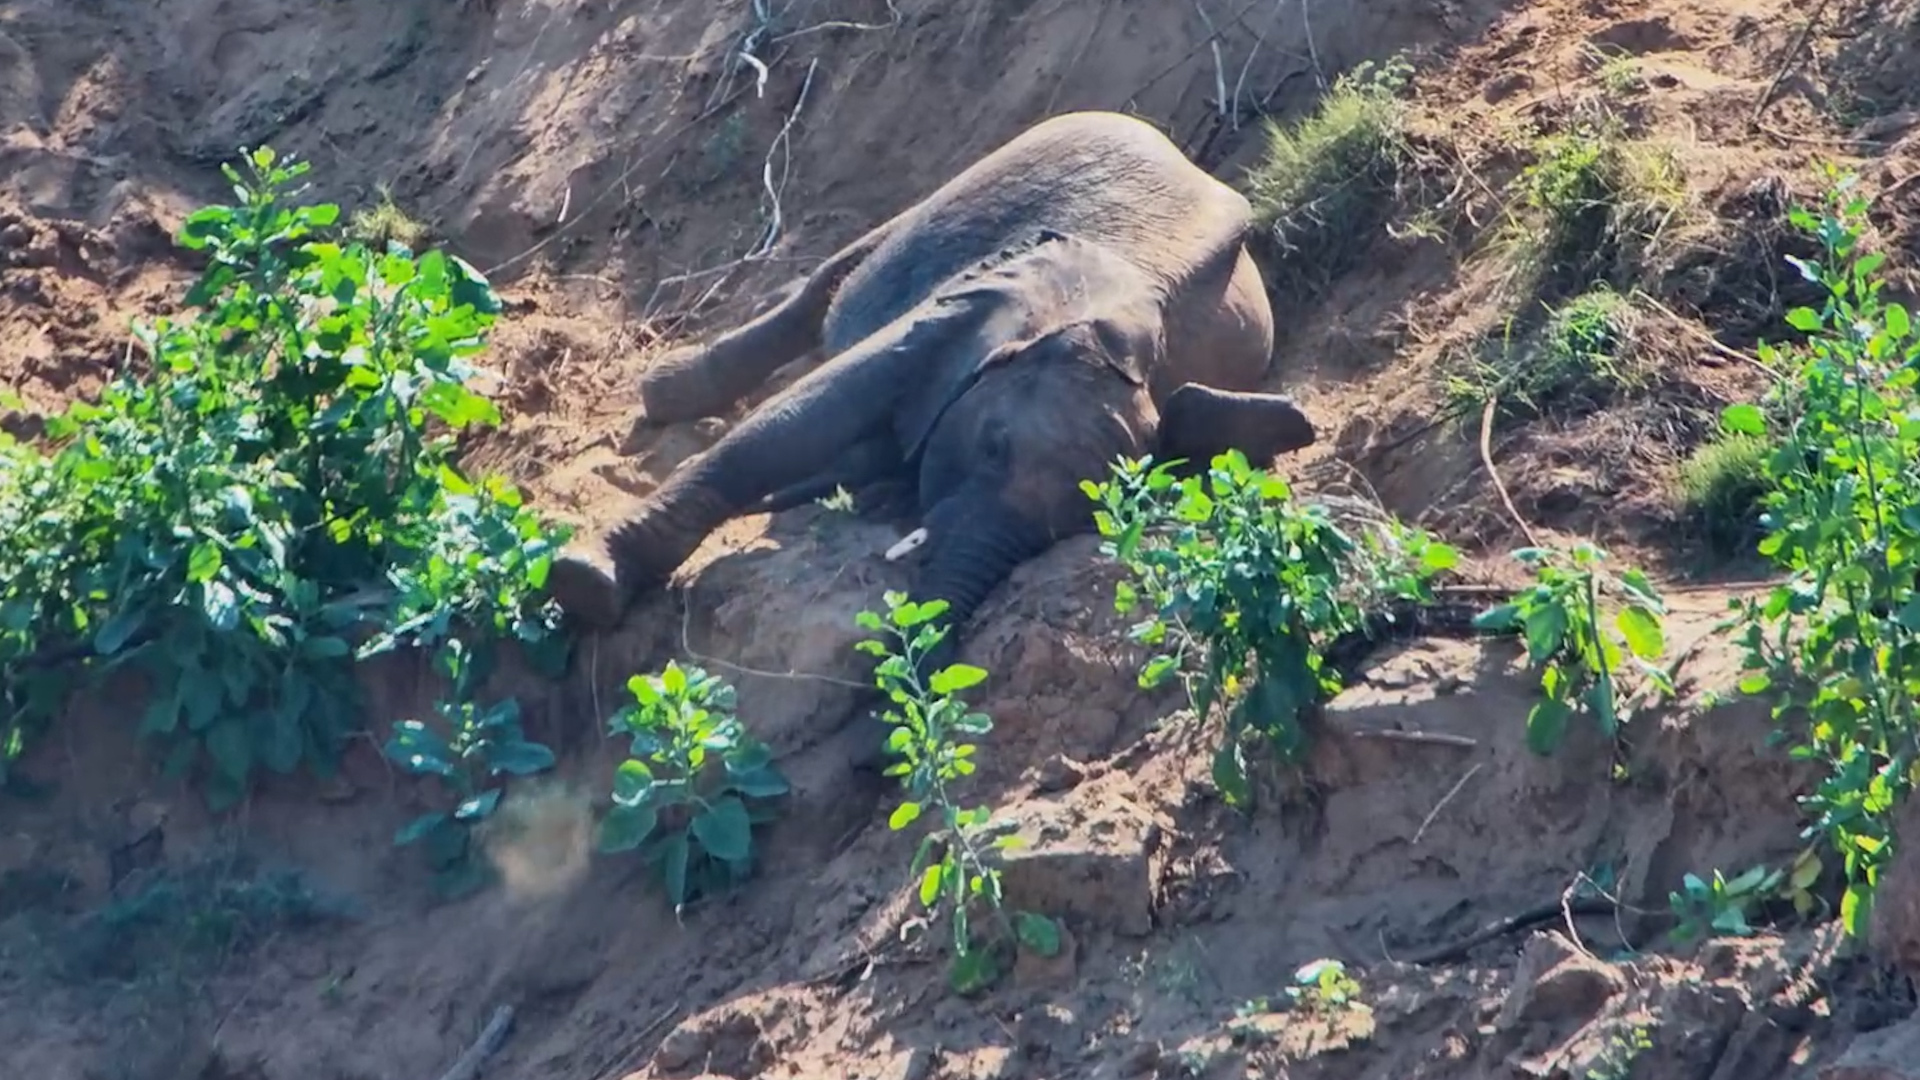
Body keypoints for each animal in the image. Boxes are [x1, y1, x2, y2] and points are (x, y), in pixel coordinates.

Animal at [545, 110, 1320, 660]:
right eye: (993, 448)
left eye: (1075, 525)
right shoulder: (962, 311)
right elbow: (795, 420)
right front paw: (586, 586)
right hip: (973, 180)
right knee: (829, 283)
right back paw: (667, 393)